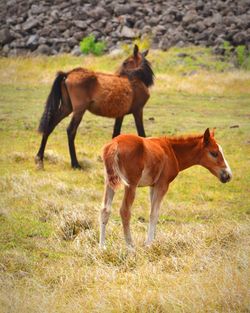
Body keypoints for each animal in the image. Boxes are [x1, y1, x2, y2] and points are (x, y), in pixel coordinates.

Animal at [99, 128, 232, 247]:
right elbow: (154, 213)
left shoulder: (153, 186)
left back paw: (102, 247)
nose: (228, 175)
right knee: (125, 211)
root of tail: (114, 143)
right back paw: (130, 247)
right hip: (131, 185)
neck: (172, 151)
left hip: (109, 182)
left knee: (105, 210)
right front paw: (149, 244)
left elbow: (154, 211)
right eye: (214, 153)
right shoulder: (162, 185)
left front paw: (153, 239)